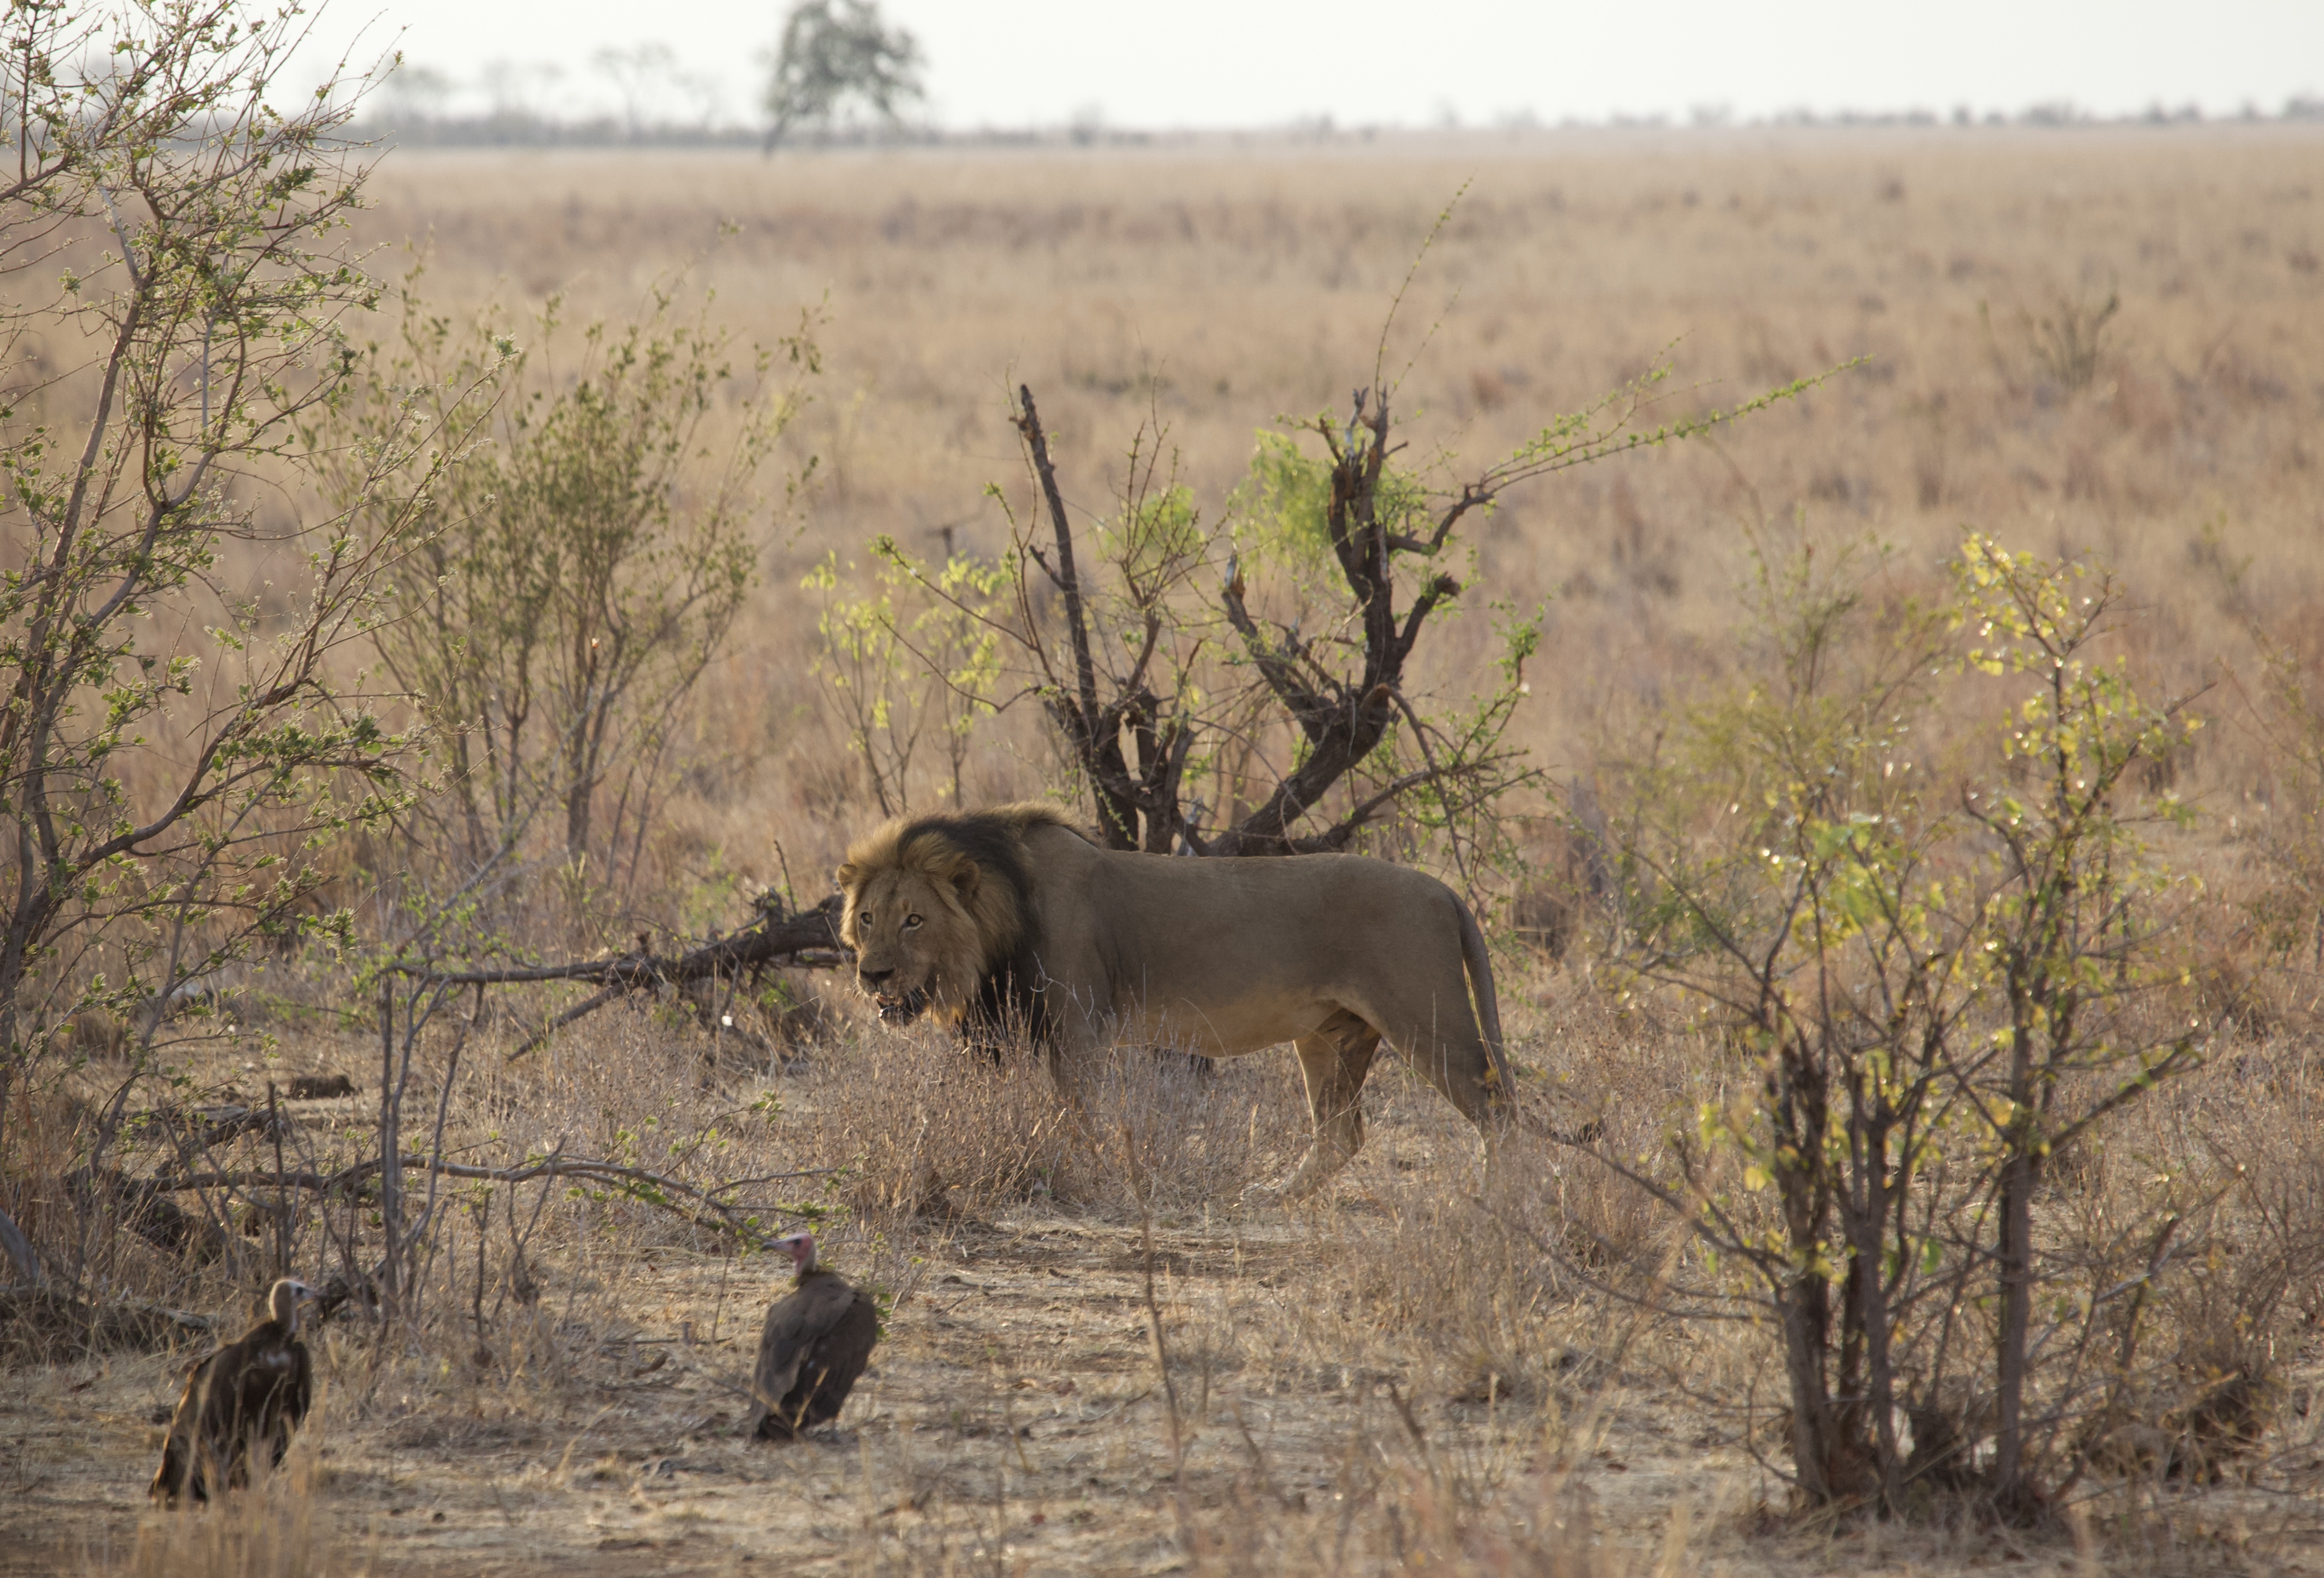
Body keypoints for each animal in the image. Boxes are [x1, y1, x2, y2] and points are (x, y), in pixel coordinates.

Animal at [835, 802, 1513, 1202]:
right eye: (868, 917)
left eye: (915, 919)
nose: (872, 973)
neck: (996, 923)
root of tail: (1443, 890)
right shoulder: (993, 1036)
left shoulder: (1078, 1027)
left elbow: (1077, 1113)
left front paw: (1081, 1177)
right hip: (1328, 1035)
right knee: (1340, 1134)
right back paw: (1268, 1194)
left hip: (1425, 1021)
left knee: (1497, 1110)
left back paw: (1497, 1199)